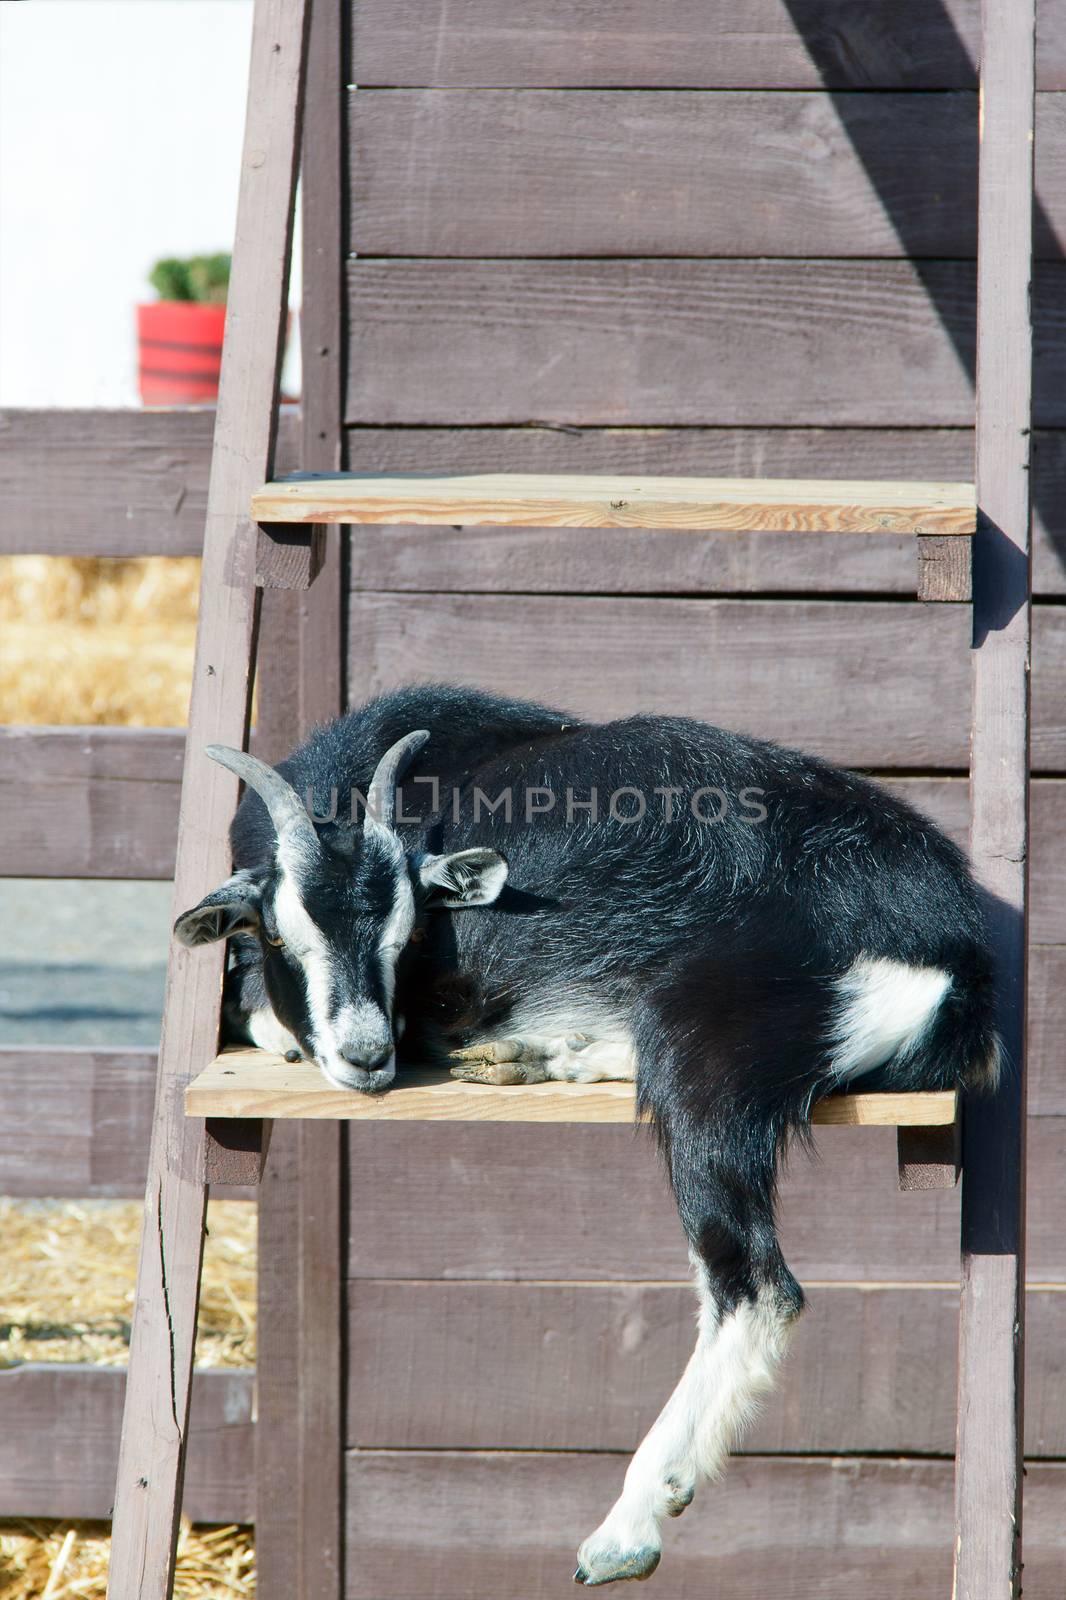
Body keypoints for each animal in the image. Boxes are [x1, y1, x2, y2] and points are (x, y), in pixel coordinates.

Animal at [174, 678, 998, 1587]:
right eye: (280, 930)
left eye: (408, 932)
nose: (367, 1055)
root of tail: (945, 943)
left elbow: (258, 1009)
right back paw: (540, 1053)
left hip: (709, 1047)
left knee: (756, 1282)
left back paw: (629, 1526)